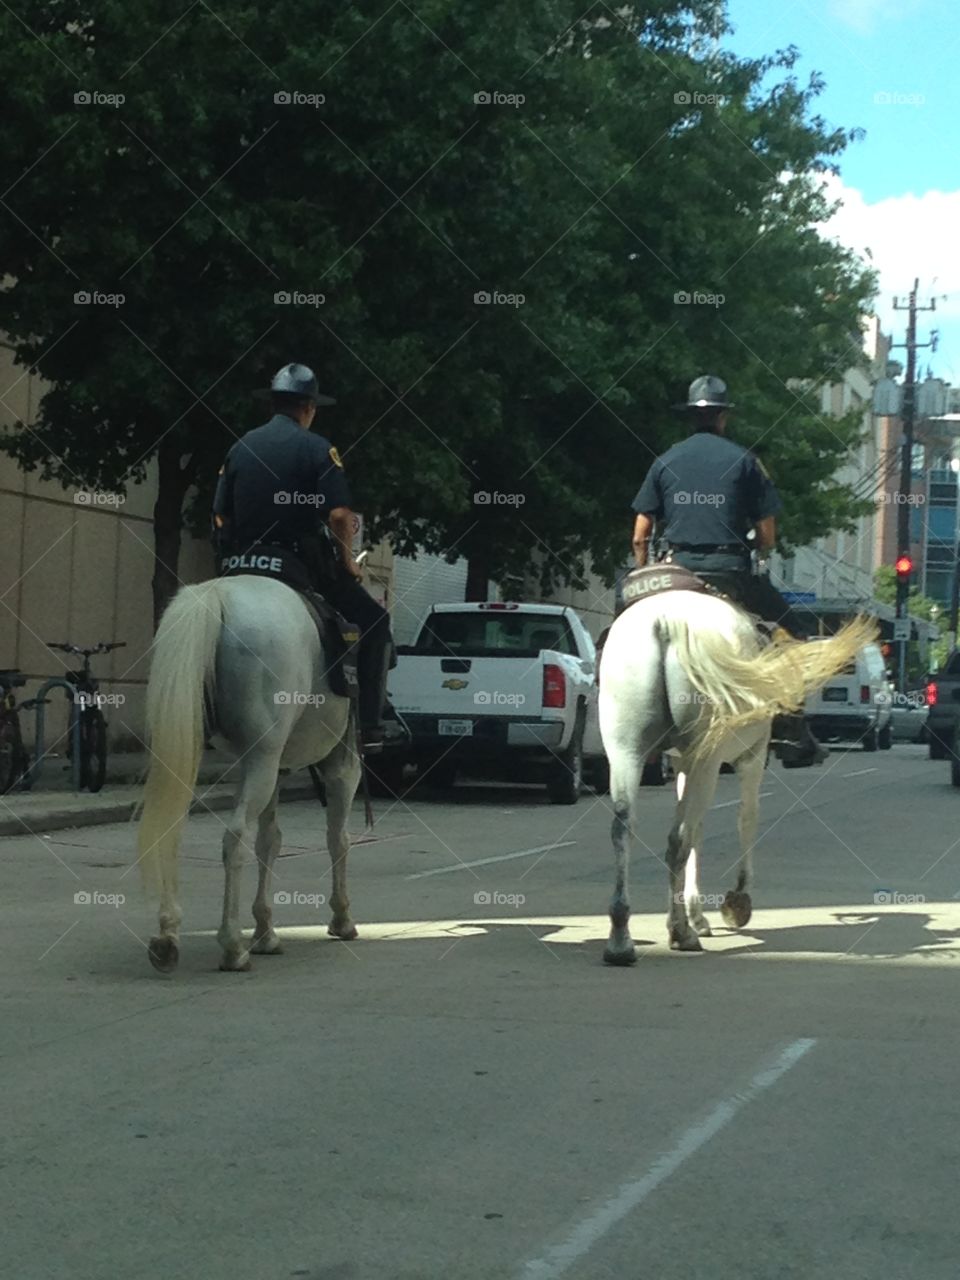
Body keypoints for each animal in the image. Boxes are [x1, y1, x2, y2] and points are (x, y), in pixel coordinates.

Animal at [134, 576, 360, 972]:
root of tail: (215, 594)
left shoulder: (273, 770)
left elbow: (270, 841)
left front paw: (265, 930)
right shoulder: (340, 769)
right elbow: (338, 839)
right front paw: (341, 918)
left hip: (202, 748)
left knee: (170, 829)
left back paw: (167, 936)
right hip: (263, 759)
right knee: (235, 837)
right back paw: (231, 946)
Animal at [601, 593, 880, 962]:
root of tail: (665, 622)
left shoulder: (683, 763)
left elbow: (700, 832)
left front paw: (698, 914)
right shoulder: (752, 758)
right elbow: (746, 819)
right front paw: (737, 901)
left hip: (626, 750)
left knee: (624, 827)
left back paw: (621, 936)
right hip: (706, 759)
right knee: (678, 839)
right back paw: (680, 933)